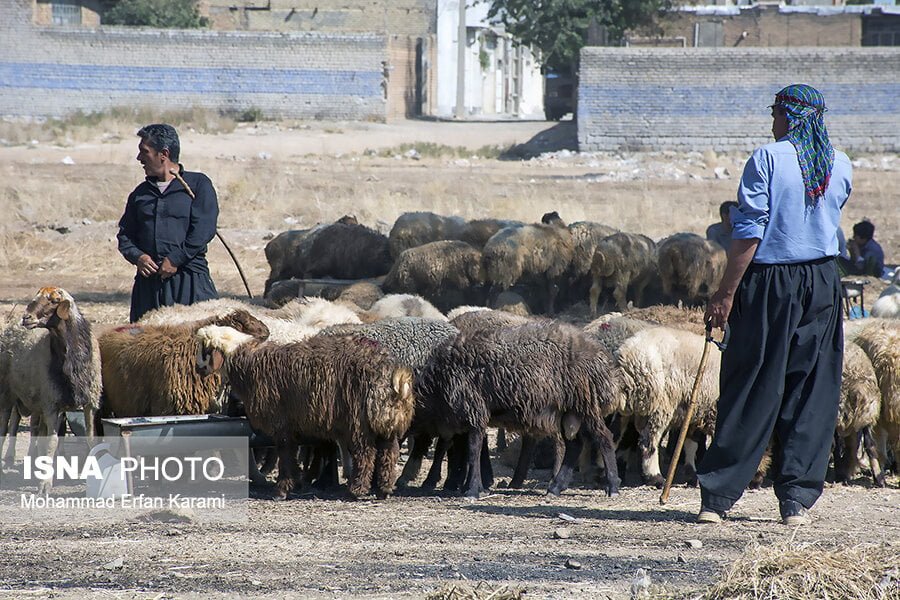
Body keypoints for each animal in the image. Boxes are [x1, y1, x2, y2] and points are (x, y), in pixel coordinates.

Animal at [197, 316, 414, 500]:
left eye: (204, 350)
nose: (198, 369)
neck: (247, 360)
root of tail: (393, 375)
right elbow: (291, 456)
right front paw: (296, 483)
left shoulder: (281, 422)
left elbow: (285, 455)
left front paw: (282, 490)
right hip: (384, 417)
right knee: (388, 452)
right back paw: (384, 489)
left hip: (360, 419)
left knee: (366, 452)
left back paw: (357, 490)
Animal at [414, 322, 620, 500]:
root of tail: (600, 356)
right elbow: (467, 450)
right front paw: (472, 486)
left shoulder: (473, 412)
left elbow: (472, 450)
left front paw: (471, 490)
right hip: (568, 411)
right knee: (575, 445)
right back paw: (555, 488)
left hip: (585, 404)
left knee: (604, 438)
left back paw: (612, 486)